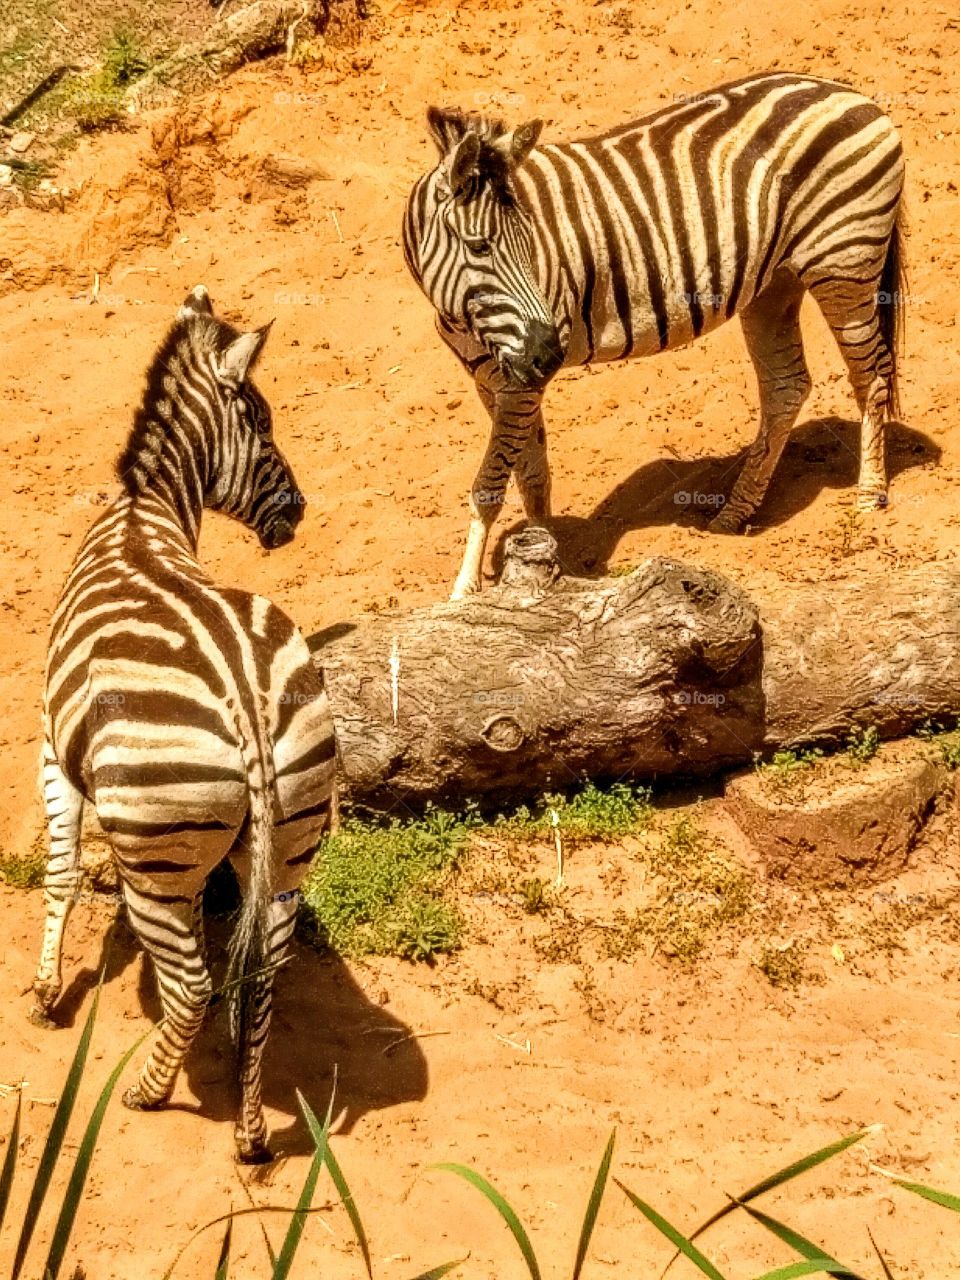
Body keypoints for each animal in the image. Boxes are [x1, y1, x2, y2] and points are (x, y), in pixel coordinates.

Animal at [33, 286, 336, 1164]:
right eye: (264, 422)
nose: (299, 511)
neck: (145, 512)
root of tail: (247, 703)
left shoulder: (50, 747)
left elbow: (60, 868)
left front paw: (45, 992)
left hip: (152, 855)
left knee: (196, 982)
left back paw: (146, 1089)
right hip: (292, 829)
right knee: (260, 969)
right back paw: (250, 1130)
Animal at [402, 71, 907, 599]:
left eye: (531, 243)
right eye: (479, 247)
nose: (551, 352)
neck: (464, 316)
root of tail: (848, 91)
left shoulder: (519, 380)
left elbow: (490, 483)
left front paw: (464, 595)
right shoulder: (494, 377)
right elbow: (530, 473)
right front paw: (539, 554)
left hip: (845, 262)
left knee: (871, 375)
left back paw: (869, 495)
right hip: (776, 284)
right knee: (787, 387)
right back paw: (734, 513)